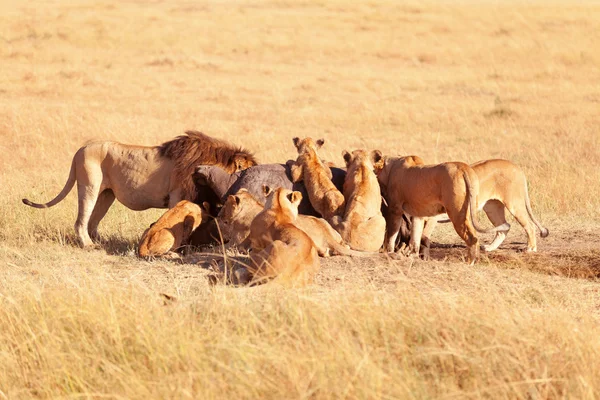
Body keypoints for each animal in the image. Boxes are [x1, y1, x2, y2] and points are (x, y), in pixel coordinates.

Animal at [20, 130, 255, 247]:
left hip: (107, 195)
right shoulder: (177, 196)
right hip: (89, 185)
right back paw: (88, 245)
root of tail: (81, 148)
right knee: (81, 221)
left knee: (93, 221)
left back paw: (102, 242)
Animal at [378, 155, 508, 264]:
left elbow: (392, 234)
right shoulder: (418, 214)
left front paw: (389, 252)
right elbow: (416, 236)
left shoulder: (395, 209)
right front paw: (412, 256)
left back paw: (470, 262)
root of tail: (464, 168)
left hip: (457, 212)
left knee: (473, 237)